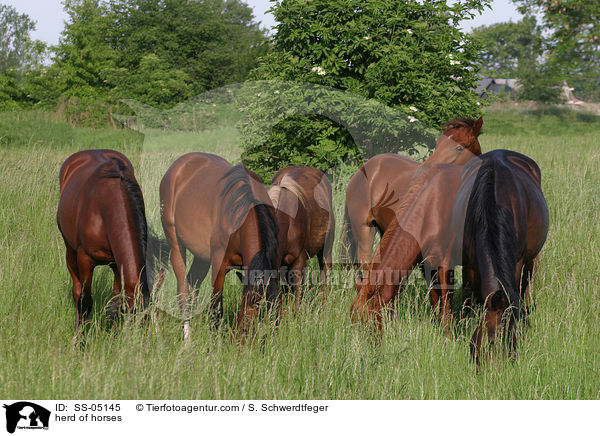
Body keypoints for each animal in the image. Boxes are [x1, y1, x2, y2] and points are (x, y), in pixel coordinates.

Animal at [57, 150, 169, 330]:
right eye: (139, 321)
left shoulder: (117, 265)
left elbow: (115, 304)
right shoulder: (85, 259)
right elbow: (85, 302)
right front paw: (81, 337)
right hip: (70, 250)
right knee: (77, 291)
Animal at [159, 153, 282, 338]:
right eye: (251, 307)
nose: (245, 338)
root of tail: (177, 167)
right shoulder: (219, 265)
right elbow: (216, 308)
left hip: (202, 256)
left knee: (193, 283)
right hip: (175, 244)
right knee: (183, 290)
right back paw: (187, 336)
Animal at [454, 150, 548, 364]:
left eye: (514, 341)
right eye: (491, 341)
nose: (499, 368)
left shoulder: (517, 262)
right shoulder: (469, 264)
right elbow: (468, 299)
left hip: (530, 261)